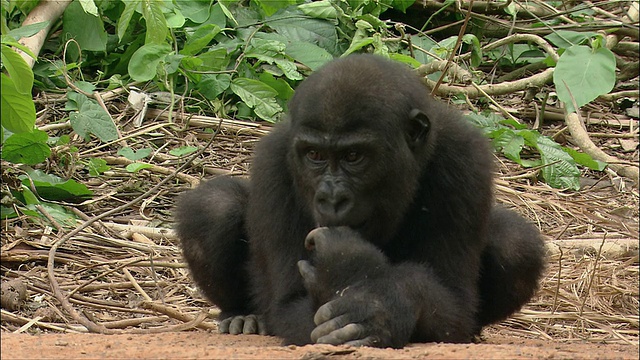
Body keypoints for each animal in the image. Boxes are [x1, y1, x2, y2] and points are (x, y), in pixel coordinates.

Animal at [175, 54, 544, 348]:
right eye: (314, 155)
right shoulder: (273, 160)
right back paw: (242, 315)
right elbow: (289, 307)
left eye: (354, 156)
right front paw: (347, 268)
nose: (332, 197)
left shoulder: (467, 157)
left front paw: (371, 299)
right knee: (214, 207)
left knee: (516, 244)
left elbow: (456, 307)